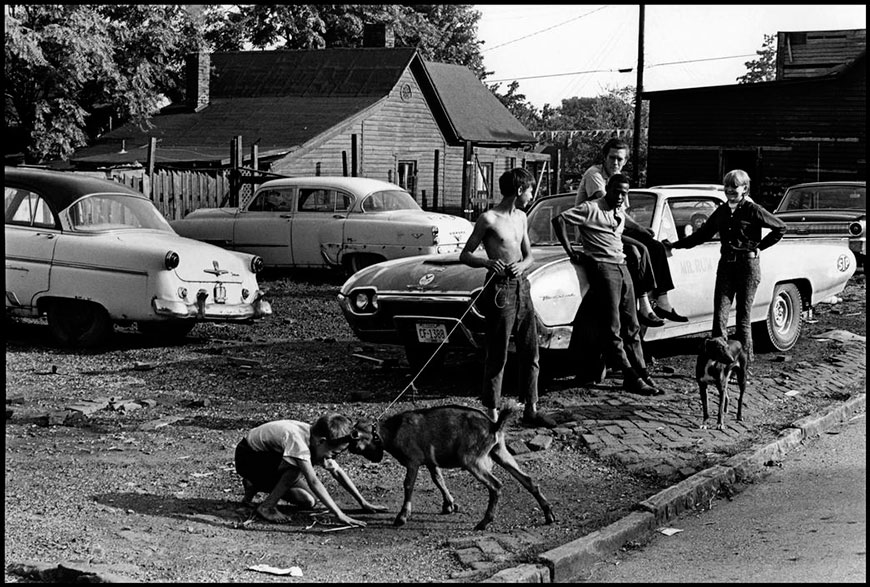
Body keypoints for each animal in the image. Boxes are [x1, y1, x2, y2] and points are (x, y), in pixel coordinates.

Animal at [350, 404, 560, 532]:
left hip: (471, 458)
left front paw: (402, 517)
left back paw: (483, 523)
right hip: (499, 451)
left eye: (356, 445)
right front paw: (449, 504)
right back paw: (549, 515)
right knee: (528, 480)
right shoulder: (431, 461)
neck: (392, 430)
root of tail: (493, 425)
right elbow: (438, 479)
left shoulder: (413, 461)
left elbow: (408, 485)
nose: (375, 459)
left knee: (496, 485)